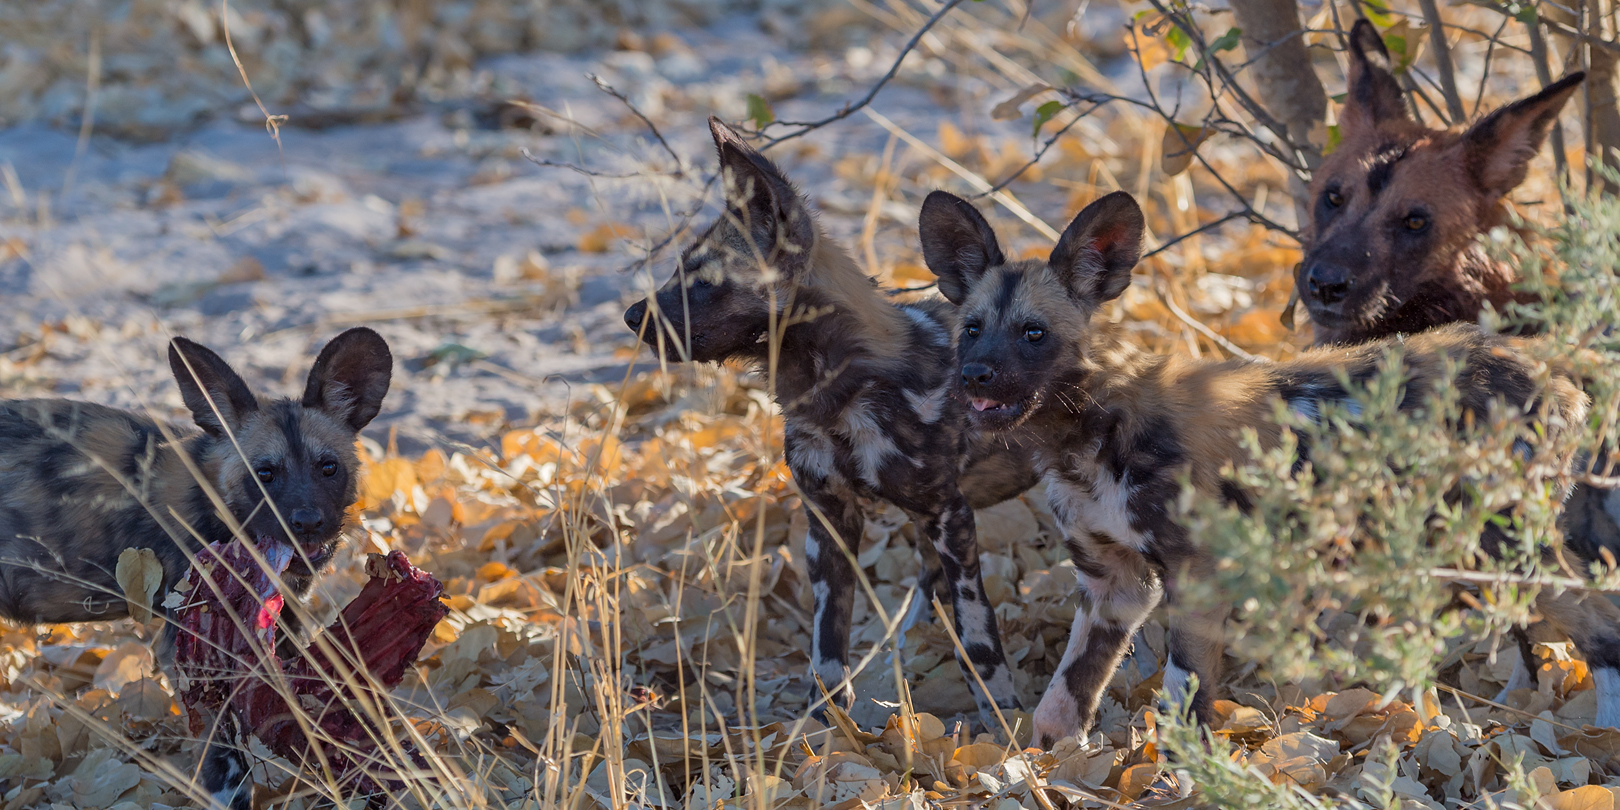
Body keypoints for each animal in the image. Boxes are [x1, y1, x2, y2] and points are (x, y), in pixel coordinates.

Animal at [0, 327, 392, 810]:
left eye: (328, 467)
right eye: (264, 474)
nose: (305, 522)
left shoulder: (279, 637)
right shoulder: (192, 655)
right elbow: (227, 764)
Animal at [622, 118, 1036, 722]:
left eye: (703, 281)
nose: (631, 316)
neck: (834, 392)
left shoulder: (949, 515)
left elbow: (979, 637)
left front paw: (1004, 721)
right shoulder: (829, 522)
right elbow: (827, 648)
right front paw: (833, 730)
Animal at [920, 187, 1613, 745]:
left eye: (1033, 334)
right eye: (972, 328)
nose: (974, 375)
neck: (1089, 435)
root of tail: (1546, 362)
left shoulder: (1195, 583)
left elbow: (1183, 704)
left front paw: (1182, 781)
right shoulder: (1113, 586)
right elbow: (1063, 702)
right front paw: (1052, 771)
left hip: (1508, 545)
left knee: (1601, 626)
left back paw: (1602, 736)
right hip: (1471, 550)